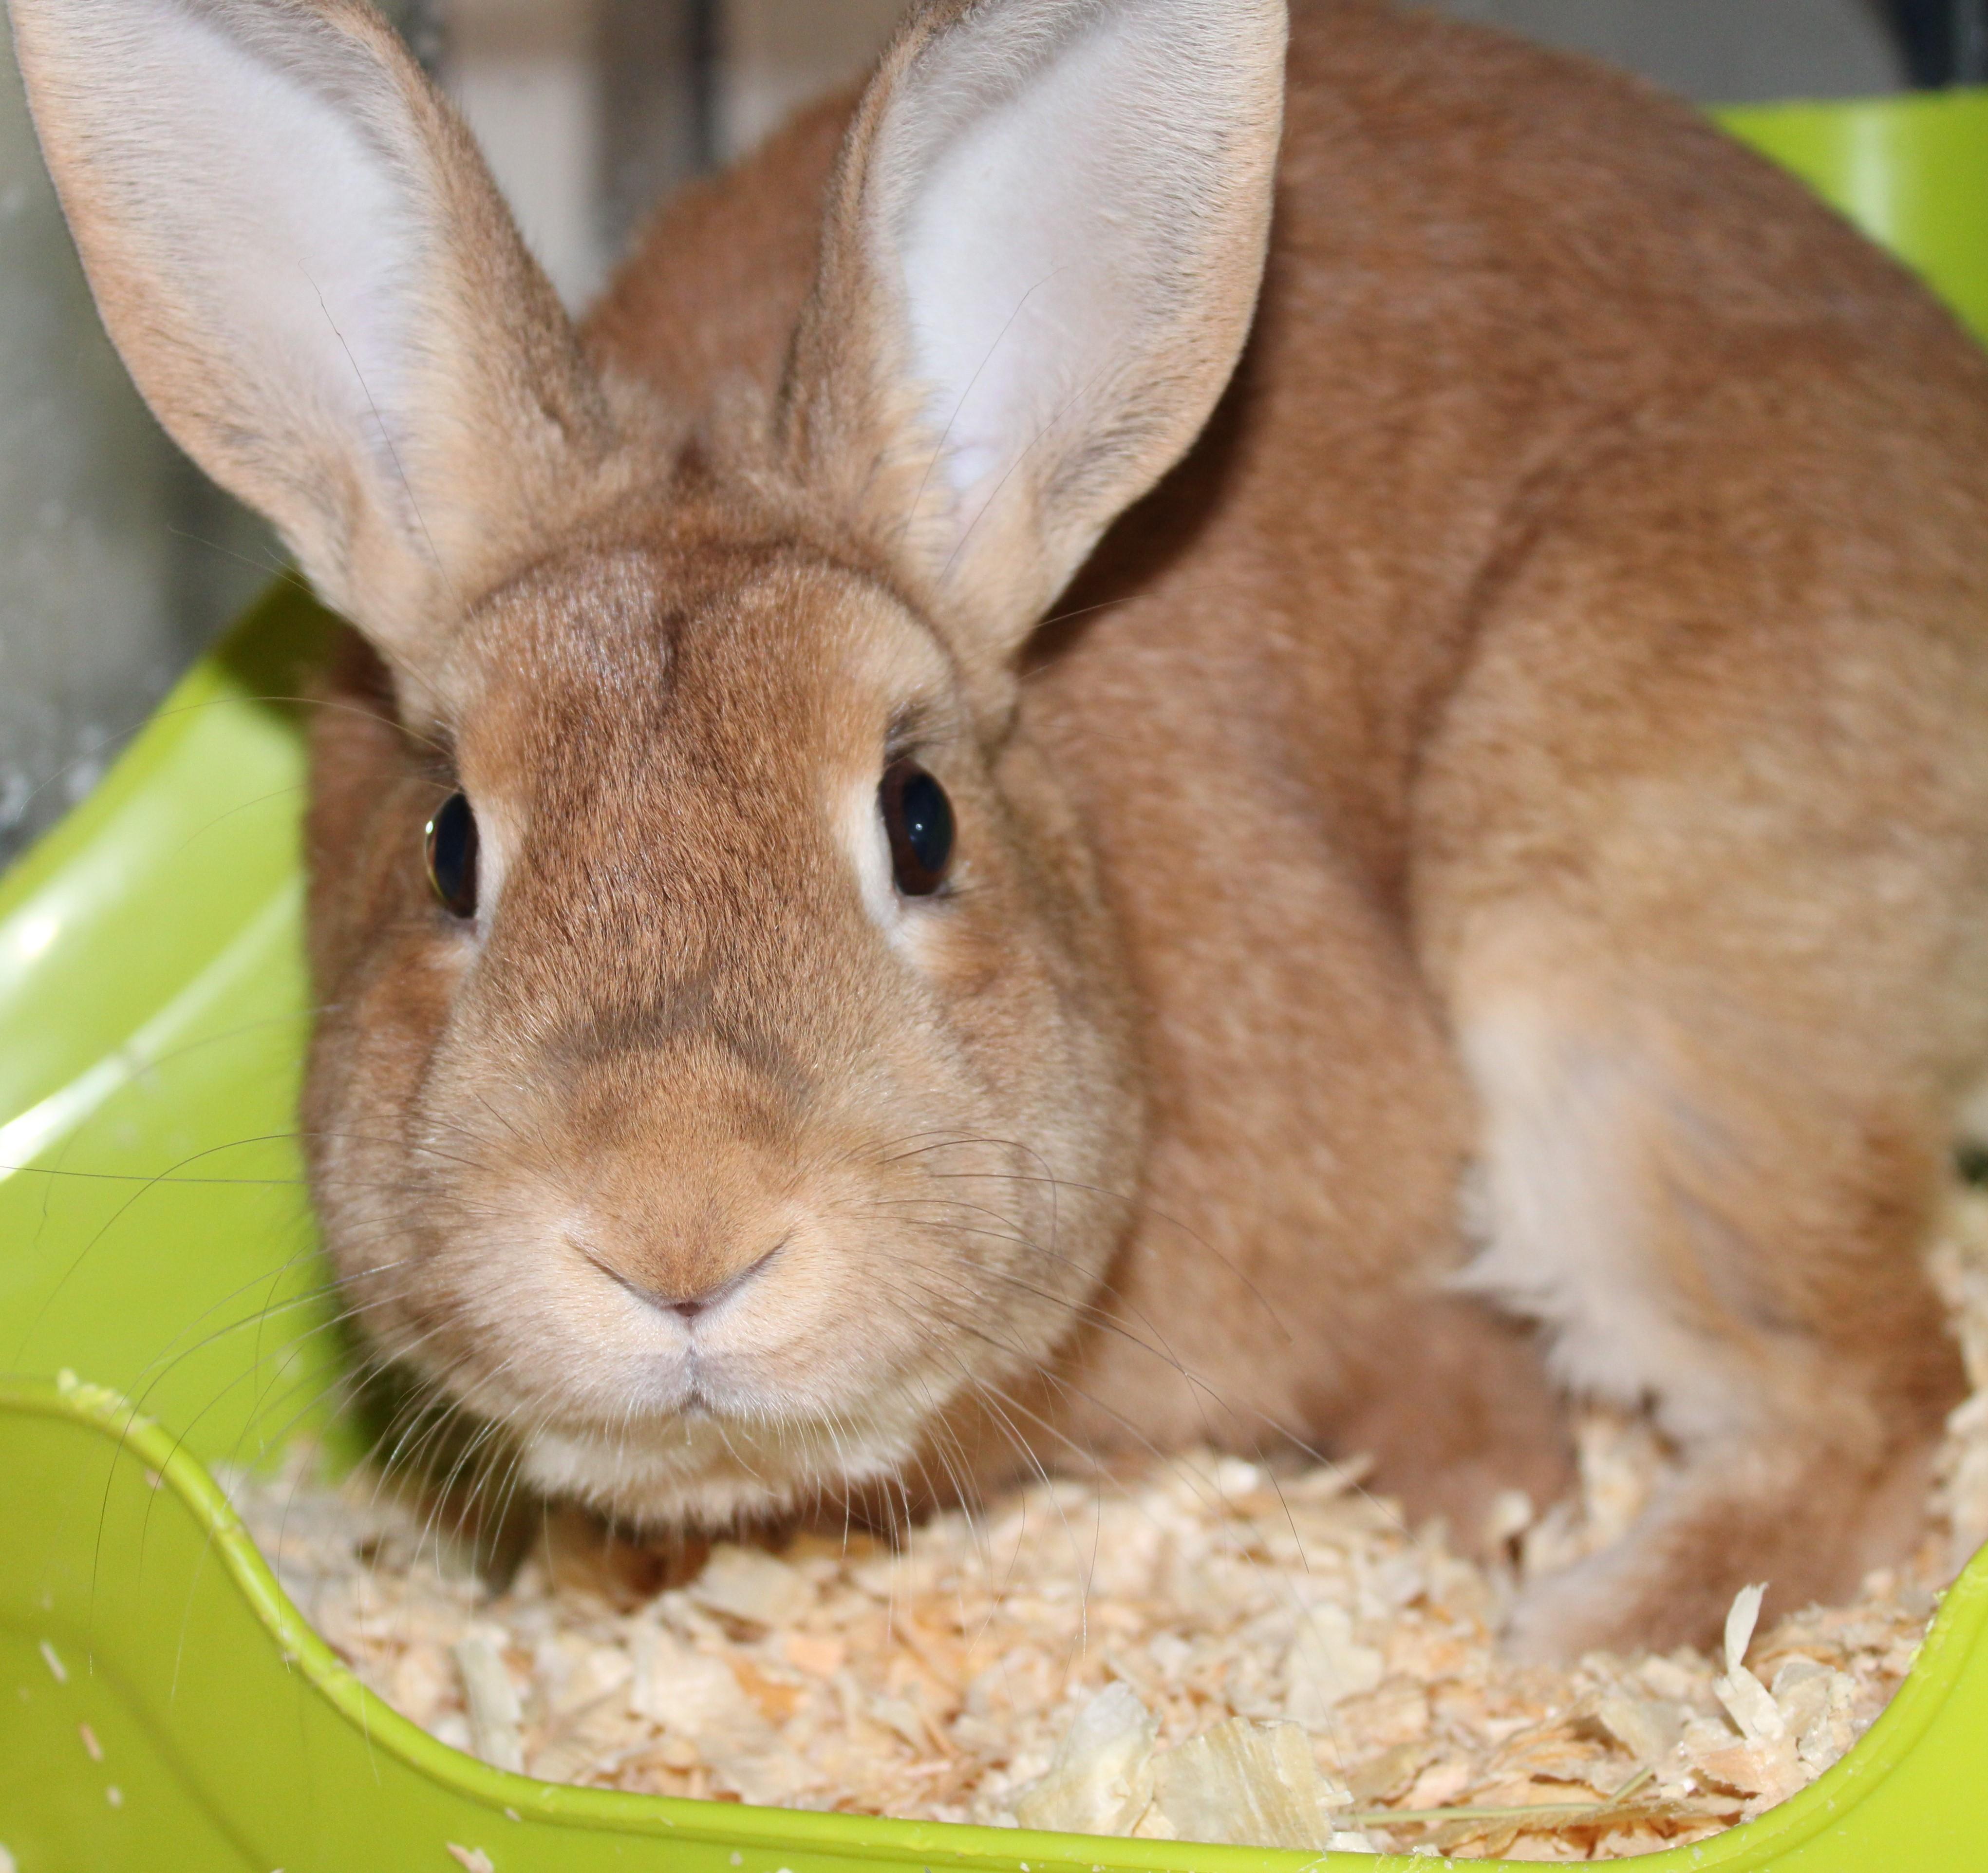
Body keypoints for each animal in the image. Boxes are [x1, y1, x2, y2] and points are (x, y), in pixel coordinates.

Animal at [15, 0, 1988, 1661]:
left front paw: (1491, 1518)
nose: (679, 1233)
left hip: (1625, 1034)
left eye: (920, 818)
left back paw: (1578, 1636)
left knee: (1872, 1388)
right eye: (447, 844)